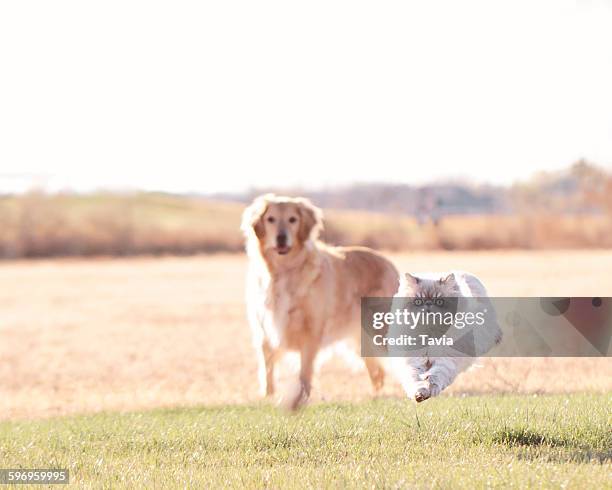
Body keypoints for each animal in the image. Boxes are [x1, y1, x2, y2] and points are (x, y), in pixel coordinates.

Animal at [241, 193, 400, 408]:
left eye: (293, 219)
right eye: (270, 219)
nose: (281, 238)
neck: (284, 272)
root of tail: (390, 265)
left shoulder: (311, 330)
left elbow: (305, 370)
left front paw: (299, 398)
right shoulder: (265, 328)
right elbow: (268, 366)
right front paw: (268, 395)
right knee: (377, 372)